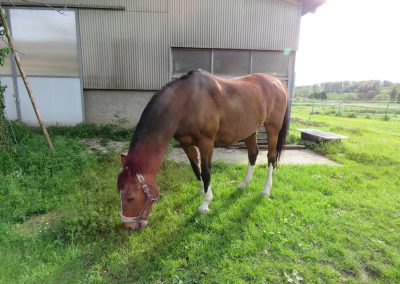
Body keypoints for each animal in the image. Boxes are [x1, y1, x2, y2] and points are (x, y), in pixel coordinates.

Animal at [115, 69, 288, 231]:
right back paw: (243, 184)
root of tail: (277, 82)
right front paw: (202, 191)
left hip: (272, 128)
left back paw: (266, 191)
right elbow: (195, 168)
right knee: (253, 154)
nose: (128, 225)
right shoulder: (186, 143)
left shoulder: (206, 142)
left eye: (130, 197)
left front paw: (205, 204)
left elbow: (206, 171)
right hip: (250, 130)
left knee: (271, 158)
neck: (187, 101)